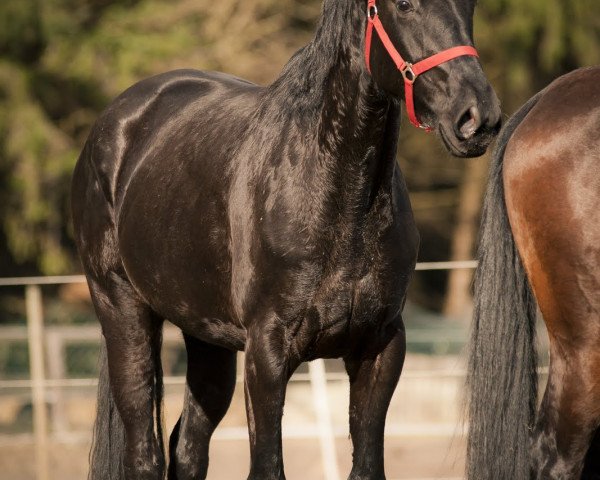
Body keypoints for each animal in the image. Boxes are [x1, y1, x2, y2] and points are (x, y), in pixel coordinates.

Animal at [71, 0, 502, 480]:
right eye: (404, 6)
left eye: (470, 5)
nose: (477, 117)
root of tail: (118, 120)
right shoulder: (266, 354)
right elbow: (268, 466)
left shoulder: (381, 348)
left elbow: (367, 464)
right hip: (121, 307)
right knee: (144, 450)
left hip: (206, 336)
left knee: (187, 449)